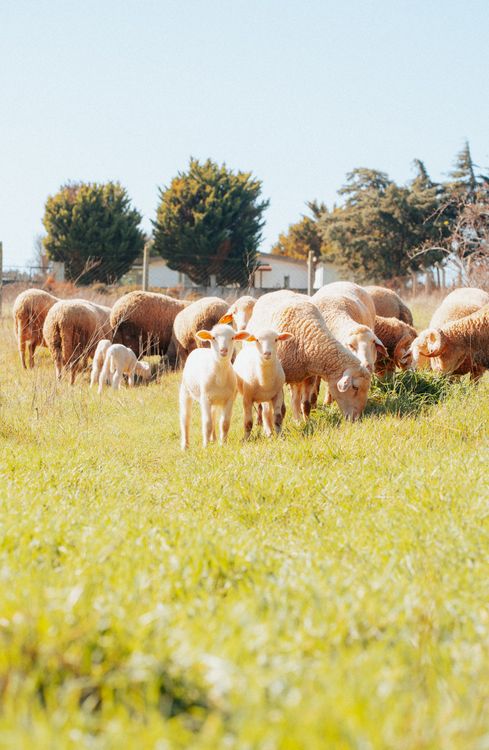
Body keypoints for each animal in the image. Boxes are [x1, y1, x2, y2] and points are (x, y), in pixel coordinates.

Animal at [247, 290, 372, 421]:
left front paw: (306, 422)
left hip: (296, 376)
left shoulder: (309, 377)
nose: (357, 418)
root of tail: (274, 292)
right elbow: (281, 409)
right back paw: (260, 420)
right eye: (355, 387)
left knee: (295, 399)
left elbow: (306, 404)